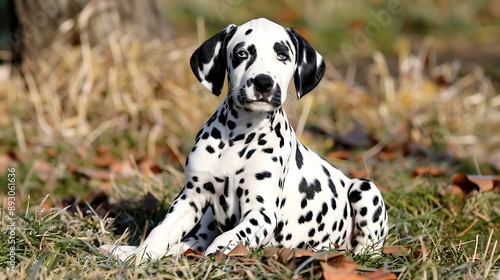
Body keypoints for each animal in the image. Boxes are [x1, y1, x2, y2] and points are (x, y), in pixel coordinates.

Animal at [101, 18, 388, 262]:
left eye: (282, 55)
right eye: (241, 53)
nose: (262, 82)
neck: (238, 136)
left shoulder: (262, 213)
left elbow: (233, 234)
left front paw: (220, 252)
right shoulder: (191, 197)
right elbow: (162, 230)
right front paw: (140, 254)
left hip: (365, 190)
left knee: (369, 245)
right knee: (191, 241)